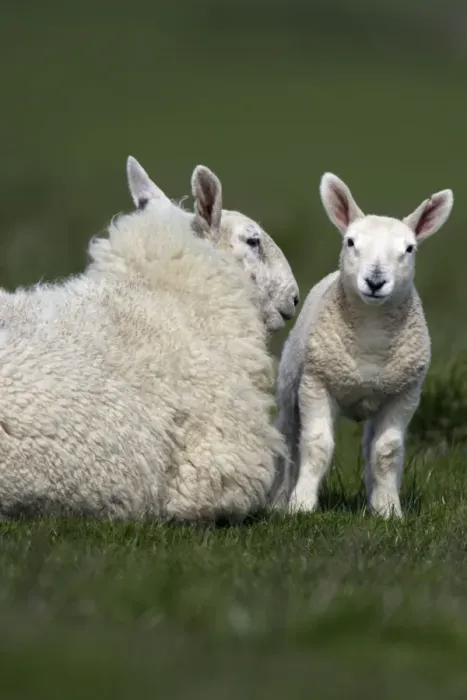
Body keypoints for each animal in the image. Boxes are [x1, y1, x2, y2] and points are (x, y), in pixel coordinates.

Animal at [273, 173, 453, 518]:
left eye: (409, 248)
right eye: (351, 242)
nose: (375, 281)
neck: (371, 339)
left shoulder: (404, 393)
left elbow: (387, 451)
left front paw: (389, 510)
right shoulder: (316, 383)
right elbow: (316, 445)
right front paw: (301, 505)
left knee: (373, 447)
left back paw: (377, 499)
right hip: (290, 384)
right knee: (287, 437)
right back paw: (278, 498)